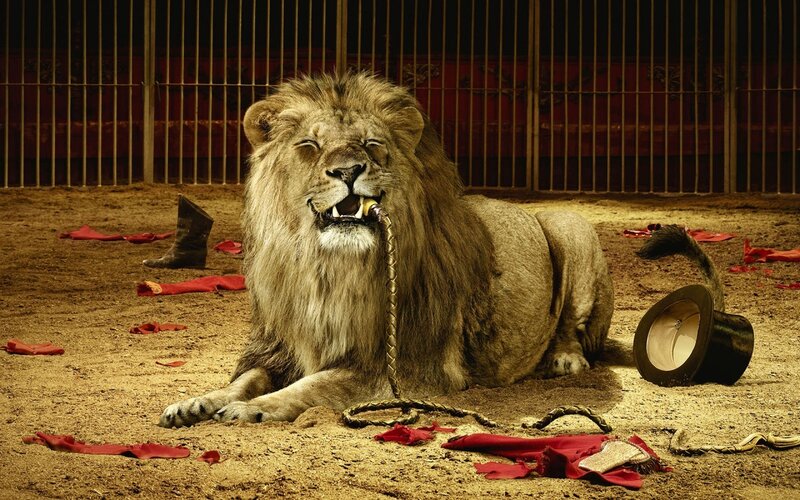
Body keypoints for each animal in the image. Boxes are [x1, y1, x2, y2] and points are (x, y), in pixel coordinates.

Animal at [159, 73, 613, 427]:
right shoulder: (279, 347)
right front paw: (197, 402)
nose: (348, 170)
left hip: (570, 225)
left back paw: (565, 360)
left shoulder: (408, 366)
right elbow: (244, 379)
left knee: (572, 325)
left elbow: (315, 385)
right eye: (309, 145)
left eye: (371, 143)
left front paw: (253, 409)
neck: (328, 269)